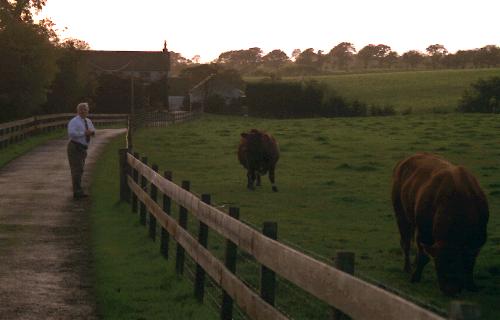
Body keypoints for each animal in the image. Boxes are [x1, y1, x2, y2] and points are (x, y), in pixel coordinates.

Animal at [390, 152, 488, 296]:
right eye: (438, 266)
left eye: (457, 265)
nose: (450, 290)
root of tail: (403, 162)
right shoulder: (424, 233)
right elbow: (424, 257)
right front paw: (415, 277)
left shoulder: (478, 241)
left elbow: (470, 262)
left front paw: (471, 285)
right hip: (401, 215)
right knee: (406, 242)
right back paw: (408, 267)